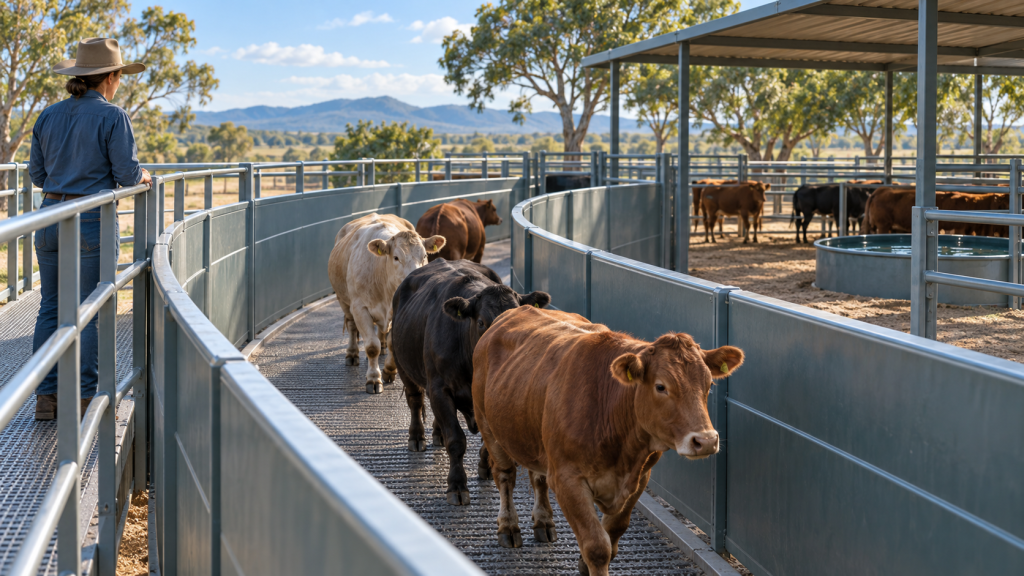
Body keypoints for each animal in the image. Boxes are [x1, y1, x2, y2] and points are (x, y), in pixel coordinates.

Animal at [327, 213, 446, 394]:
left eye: (425, 256)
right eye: (396, 257)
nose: (416, 278)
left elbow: (392, 343)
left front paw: (389, 370)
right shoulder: (360, 308)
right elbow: (371, 347)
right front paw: (373, 379)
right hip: (344, 301)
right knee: (352, 326)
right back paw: (352, 354)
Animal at [390, 259, 550, 505]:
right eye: (482, 322)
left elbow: (490, 441)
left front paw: (485, 467)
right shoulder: (440, 389)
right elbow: (456, 440)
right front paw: (456, 485)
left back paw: (437, 433)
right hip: (403, 365)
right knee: (415, 400)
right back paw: (417, 437)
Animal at [472, 306, 743, 576]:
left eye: (709, 384)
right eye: (660, 386)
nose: (706, 440)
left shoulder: (640, 476)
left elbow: (613, 534)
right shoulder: (567, 480)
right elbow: (597, 547)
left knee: (537, 477)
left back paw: (543, 520)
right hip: (488, 427)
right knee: (505, 476)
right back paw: (508, 526)